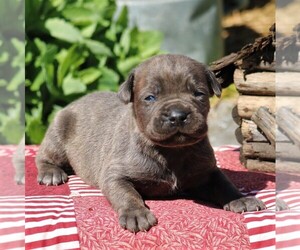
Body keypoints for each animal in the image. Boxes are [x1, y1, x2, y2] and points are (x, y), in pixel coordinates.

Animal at [37, 54, 264, 232]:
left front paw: (240, 199)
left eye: (199, 94)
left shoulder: (207, 172)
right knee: (44, 156)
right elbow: (127, 193)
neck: (172, 151)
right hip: (58, 131)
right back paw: (51, 173)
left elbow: (224, 183)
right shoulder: (114, 175)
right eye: (150, 98)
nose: (177, 115)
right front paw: (136, 214)